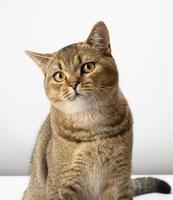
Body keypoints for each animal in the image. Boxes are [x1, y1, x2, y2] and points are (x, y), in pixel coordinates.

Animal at [22, 21, 172, 199]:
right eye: (59, 76)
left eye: (88, 67)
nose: (73, 83)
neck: (92, 124)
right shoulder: (60, 186)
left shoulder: (120, 179)